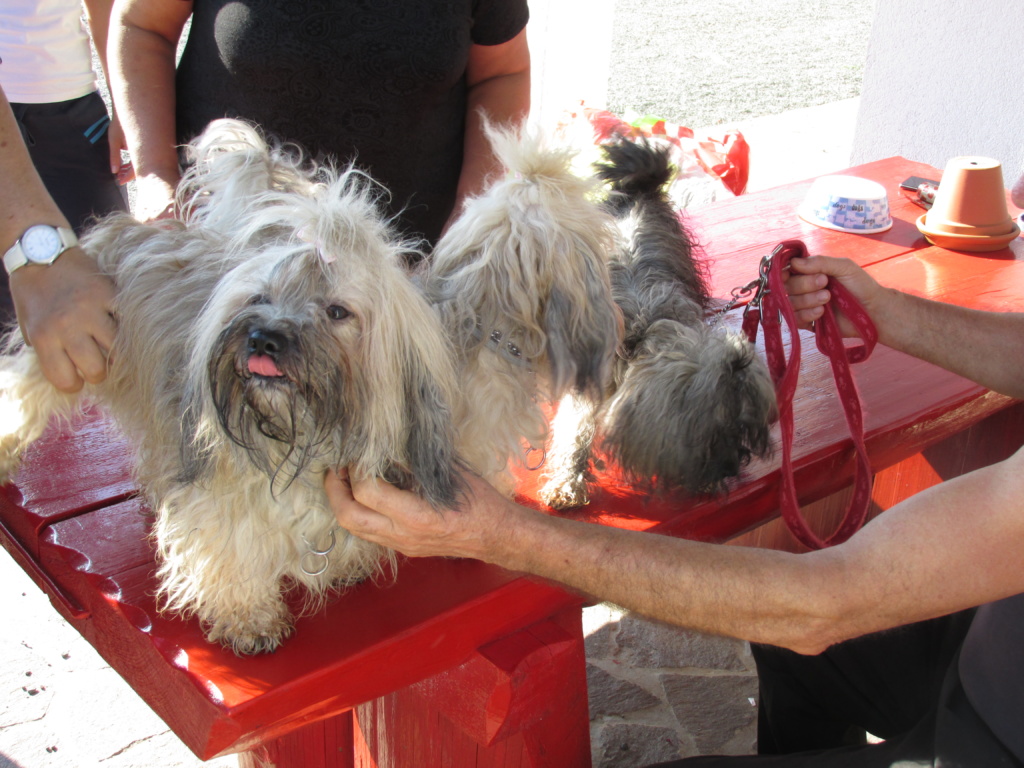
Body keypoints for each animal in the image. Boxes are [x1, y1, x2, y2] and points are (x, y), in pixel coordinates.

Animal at [0, 119, 465, 655]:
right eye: (259, 297)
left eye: (337, 311)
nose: (264, 337)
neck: (302, 440)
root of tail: (126, 229)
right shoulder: (219, 497)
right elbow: (229, 552)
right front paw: (249, 618)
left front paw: (346, 565)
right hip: (74, 350)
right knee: (22, 393)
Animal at [540, 137, 778, 508]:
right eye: (711, 437)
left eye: (741, 431)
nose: (731, 468)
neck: (642, 334)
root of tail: (637, 190)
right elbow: (574, 429)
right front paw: (567, 482)